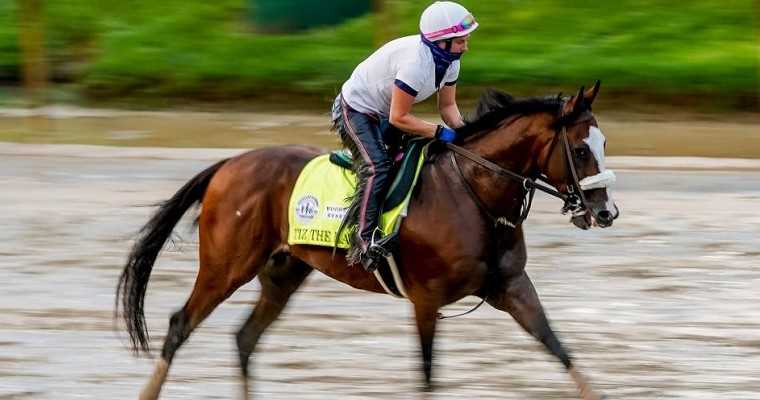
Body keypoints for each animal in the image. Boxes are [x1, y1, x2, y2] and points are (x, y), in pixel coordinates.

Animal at [117, 81, 616, 400]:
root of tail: (228, 164)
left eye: (604, 143)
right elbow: (427, 376)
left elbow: (558, 346)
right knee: (180, 324)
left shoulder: (510, 286)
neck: (473, 193)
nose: (606, 211)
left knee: (245, 338)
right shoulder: (426, 299)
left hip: (283, 272)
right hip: (226, 266)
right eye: (579, 150)